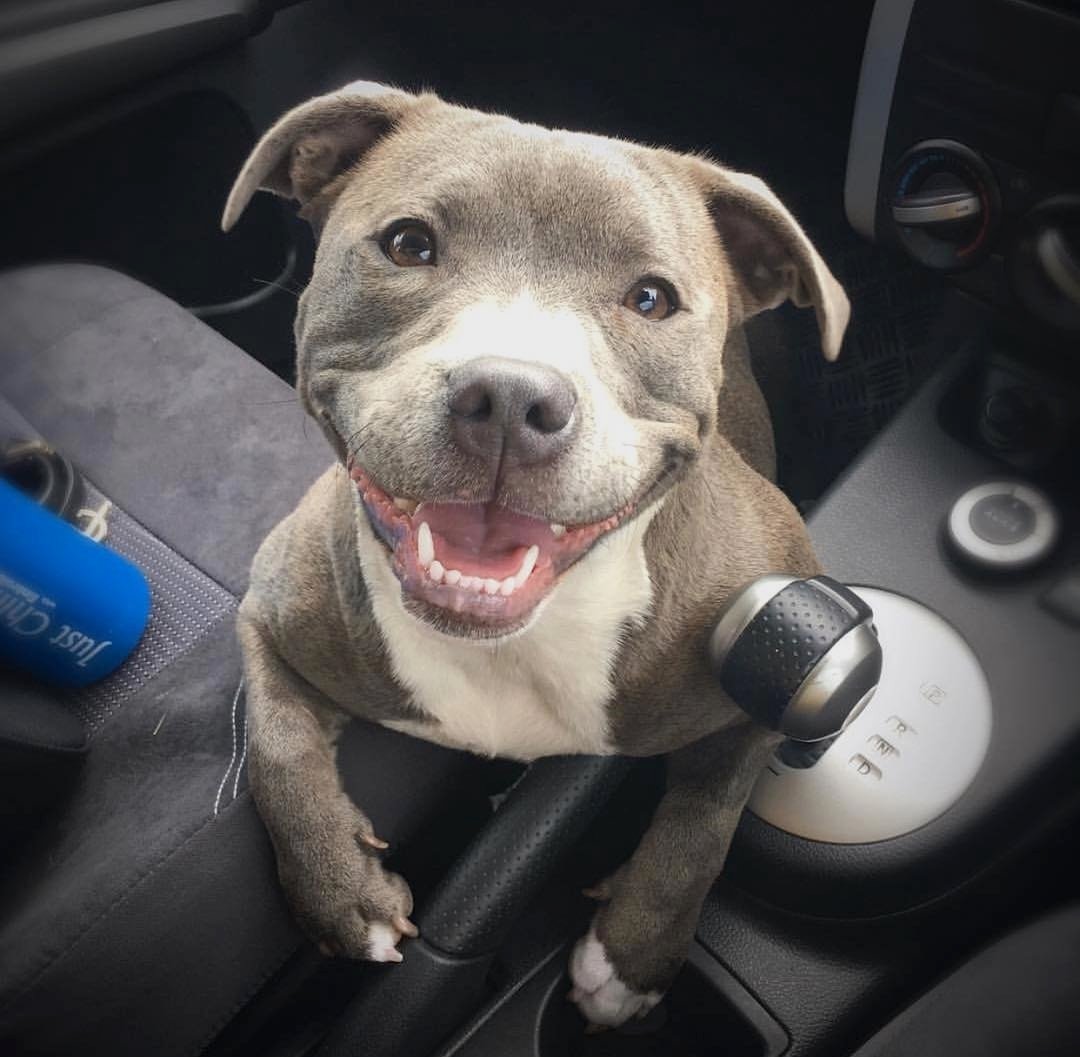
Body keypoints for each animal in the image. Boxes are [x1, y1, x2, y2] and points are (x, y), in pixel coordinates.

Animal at [225, 80, 851, 1023]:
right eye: (409, 244)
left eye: (652, 298)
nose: (512, 397)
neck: (513, 639)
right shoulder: (271, 611)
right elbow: (275, 744)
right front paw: (339, 892)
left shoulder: (764, 664)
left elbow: (706, 822)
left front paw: (633, 958)